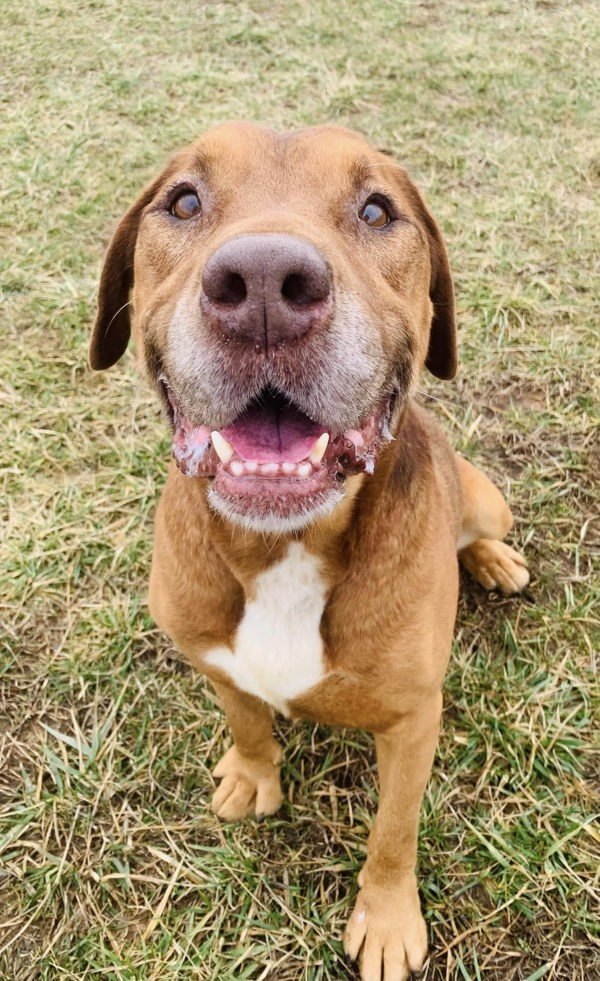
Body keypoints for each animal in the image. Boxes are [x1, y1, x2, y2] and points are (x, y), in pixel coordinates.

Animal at [89, 122, 528, 980]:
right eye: (183, 201)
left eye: (377, 210)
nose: (263, 282)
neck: (284, 545)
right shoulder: (216, 659)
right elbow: (248, 721)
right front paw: (252, 772)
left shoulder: (413, 722)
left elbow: (393, 830)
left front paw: (387, 918)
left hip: (485, 493)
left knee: (484, 527)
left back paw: (495, 561)